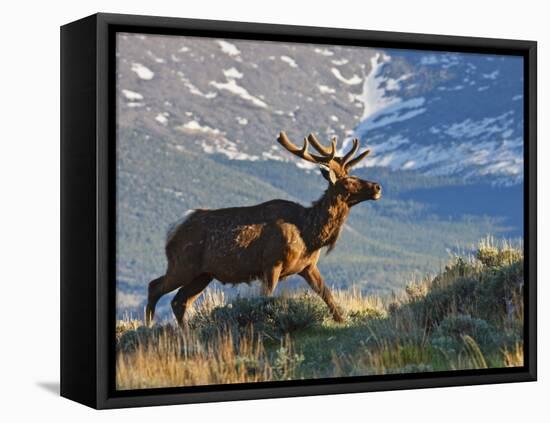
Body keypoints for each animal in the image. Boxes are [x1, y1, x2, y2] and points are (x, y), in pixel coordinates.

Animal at [147, 132, 384, 328]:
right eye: (348, 180)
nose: (377, 187)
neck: (309, 235)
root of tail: (173, 228)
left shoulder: (308, 266)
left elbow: (327, 294)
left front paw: (342, 320)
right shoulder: (271, 262)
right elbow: (267, 297)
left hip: (203, 273)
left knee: (180, 300)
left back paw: (186, 332)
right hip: (183, 264)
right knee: (155, 286)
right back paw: (148, 326)